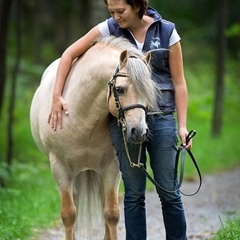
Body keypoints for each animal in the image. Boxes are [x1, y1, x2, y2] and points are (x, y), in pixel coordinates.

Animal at [29, 36, 159, 240]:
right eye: (120, 90)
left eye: (149, 91)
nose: (139, 131)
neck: (81, 117)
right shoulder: (59, 169)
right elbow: (68, 214)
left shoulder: (112, 167)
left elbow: (111, 213)